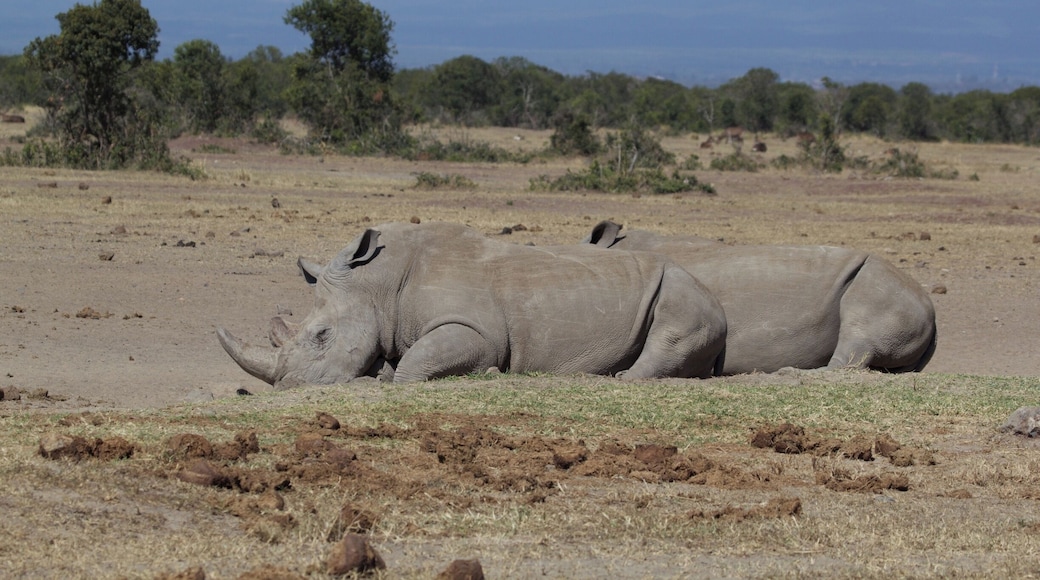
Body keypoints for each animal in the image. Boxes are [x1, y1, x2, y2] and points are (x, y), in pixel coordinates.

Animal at [218, 222, 727, 387]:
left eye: (321, 336)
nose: (289, 386)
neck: (376, 284)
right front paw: (378, 372)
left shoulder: (475, 330)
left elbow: (415, 365)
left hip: (684, 288)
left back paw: (621, 379)